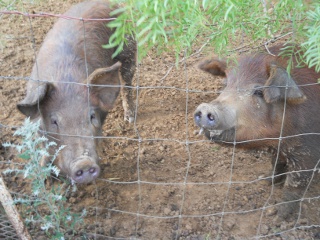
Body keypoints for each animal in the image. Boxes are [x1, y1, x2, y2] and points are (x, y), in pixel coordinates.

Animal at [16, 1, 136, 184]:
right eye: (54, 121)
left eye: (91, 116)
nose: (84, 163)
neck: (67, 81)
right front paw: (44, 177)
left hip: (129, 51)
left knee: (127, 84)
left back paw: (129, 118)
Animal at [194, 44, 320, 218]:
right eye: (225, 85)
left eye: (259, 92)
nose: (206, 107)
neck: (279, 140)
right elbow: (276, 163)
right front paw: (265, 180)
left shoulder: (308, 152)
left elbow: (295, 184)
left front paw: (279, 215)